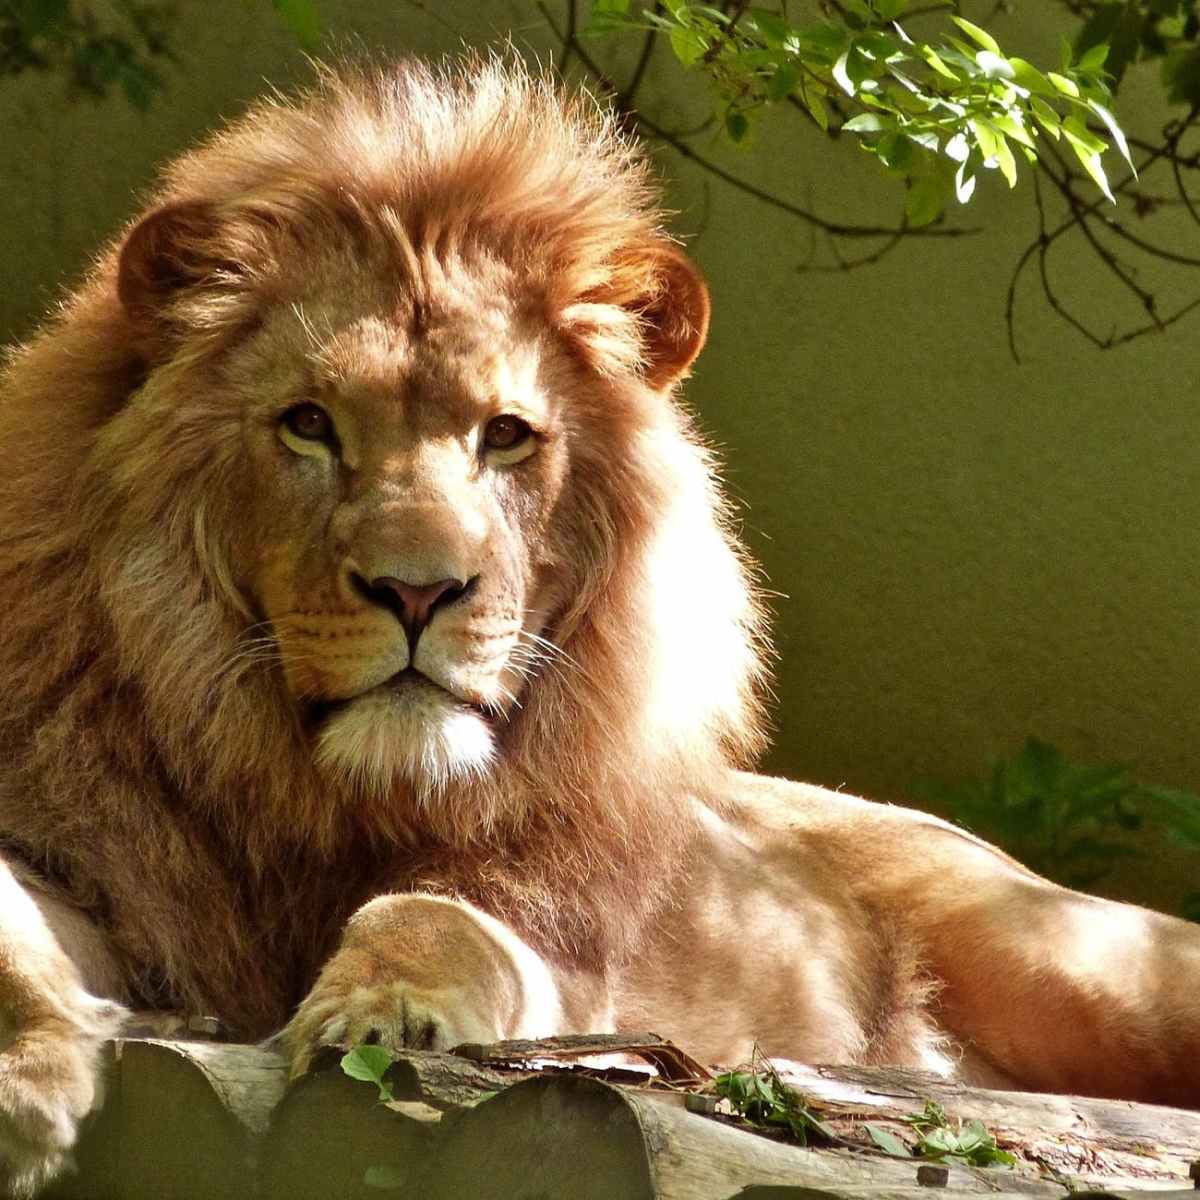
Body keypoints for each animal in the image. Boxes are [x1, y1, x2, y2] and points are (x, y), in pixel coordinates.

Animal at [1, 55, 1198, 1196]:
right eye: (308, 425)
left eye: (506, 435)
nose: (418, 592)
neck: (327, 795)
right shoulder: (95, 858)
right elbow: (15, 921)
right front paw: (28, 1079)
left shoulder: (563, 951)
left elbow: (432, 916)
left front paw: (383, 1013)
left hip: (1082, 958)